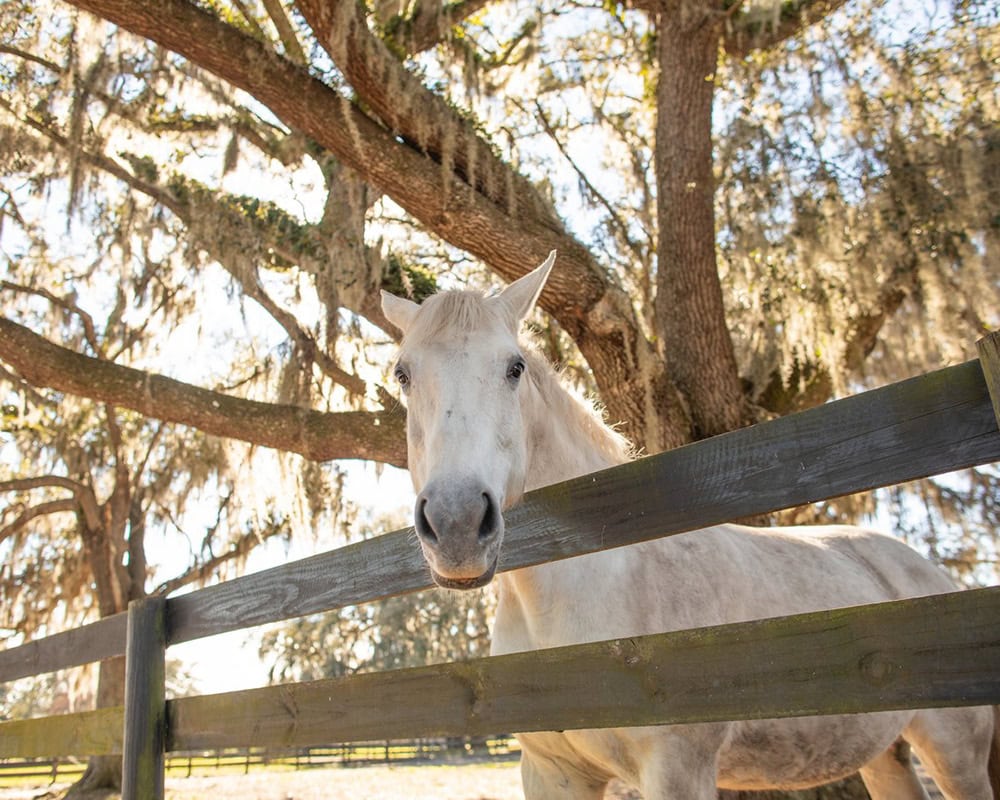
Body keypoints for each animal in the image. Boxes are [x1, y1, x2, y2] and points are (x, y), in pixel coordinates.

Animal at [380, 251, 999, 799]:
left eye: (514, 367)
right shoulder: (552, 773)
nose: (457, 523)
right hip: (887, 757)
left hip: (955, 755)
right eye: (403, 373)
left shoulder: (679, 769)